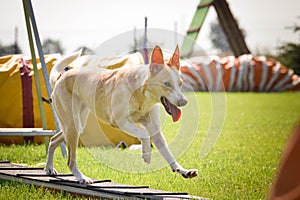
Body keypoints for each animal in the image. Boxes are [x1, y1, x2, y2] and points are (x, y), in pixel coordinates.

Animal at [45, 46, 198, 184]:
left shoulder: (154, 128)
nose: (184, 101)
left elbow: (167, 152)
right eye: (167, 84)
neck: (141, 94)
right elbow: (143, 133)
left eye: (180, 84)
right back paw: (81, 177)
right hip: (73, 125)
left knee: (53, 139)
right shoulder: (119, 121)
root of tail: (62, 75)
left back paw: (49, 169)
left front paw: (183, 171)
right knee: (70, 160)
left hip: (76, 125)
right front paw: (147, 155)